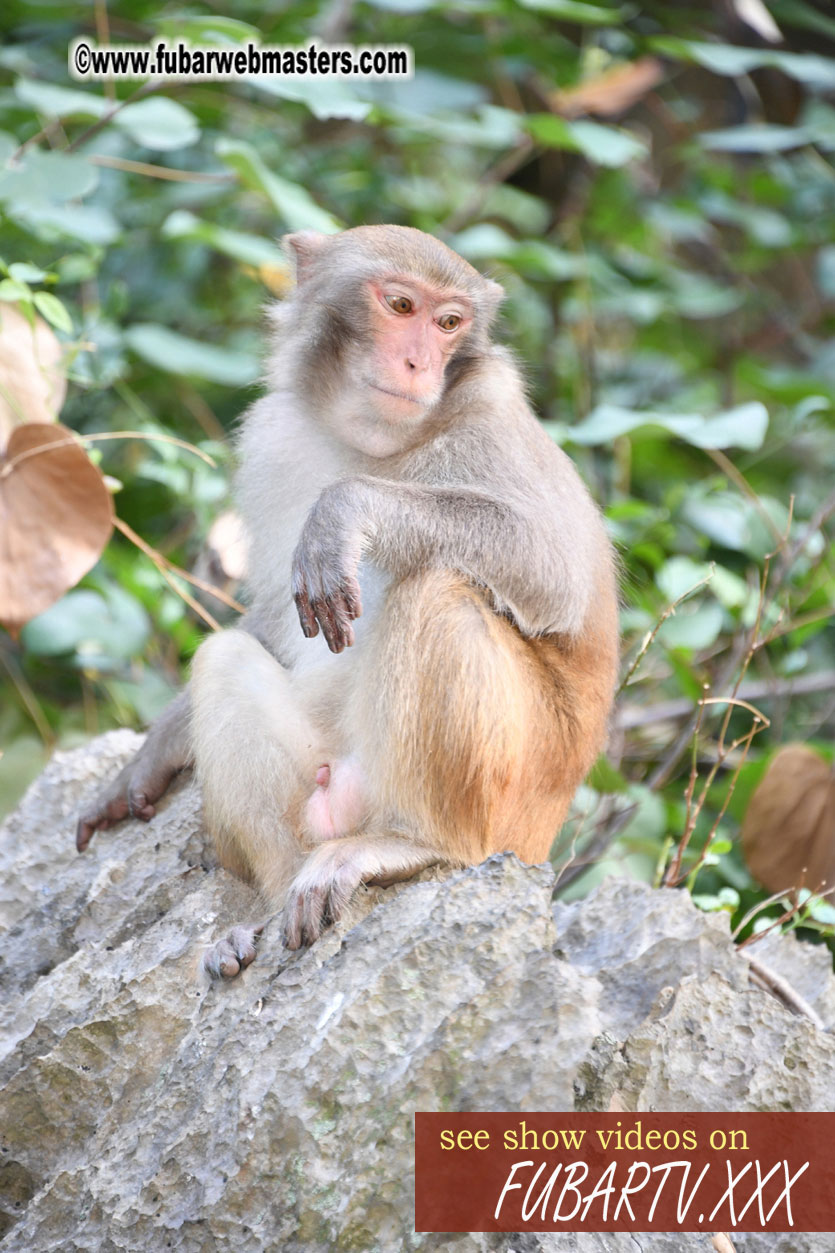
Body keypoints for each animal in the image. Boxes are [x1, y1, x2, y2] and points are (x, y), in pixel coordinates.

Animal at [78, 225, 614, 972]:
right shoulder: (273, 433)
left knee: (437, 590)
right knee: (225, 657)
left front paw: (344, 509)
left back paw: (414, 844)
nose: (419, 362)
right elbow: (272, 618)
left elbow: (551, 566)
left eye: (449, 324)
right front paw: (148, 757)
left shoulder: (492, 419)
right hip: (324, 780)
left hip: (508, 813)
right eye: (400, 305)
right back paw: (268, 907)